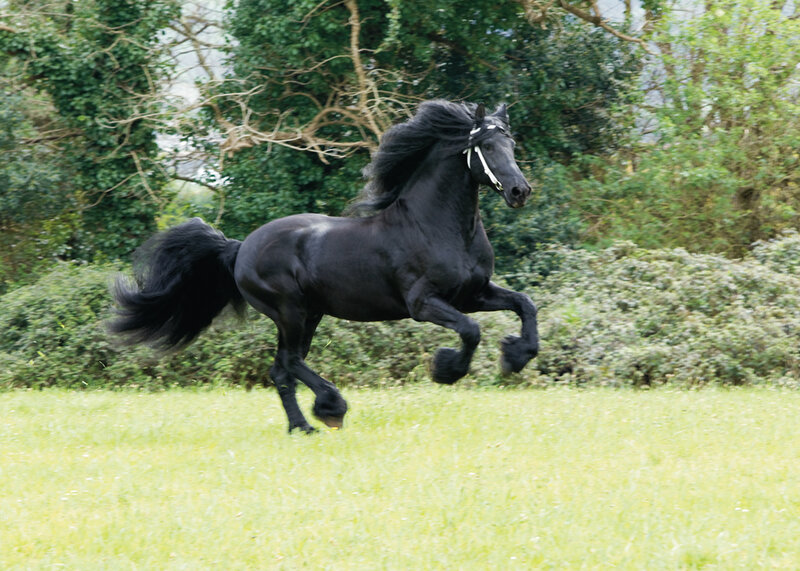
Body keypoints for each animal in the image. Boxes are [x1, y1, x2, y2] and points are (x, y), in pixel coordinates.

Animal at [110, 100, 539, 433]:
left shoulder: (472, 293)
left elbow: (524, 304)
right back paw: (330, 409)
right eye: (486, 145)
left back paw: (302, 426)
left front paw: (515, 356)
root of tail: (240, 247)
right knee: (290, 363)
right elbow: (470, 331)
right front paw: (446, 369)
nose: (520, 191)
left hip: (309, 314)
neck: (436, 226)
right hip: (290, 311)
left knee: (282, 369)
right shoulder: (423, 304)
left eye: (511, 142)